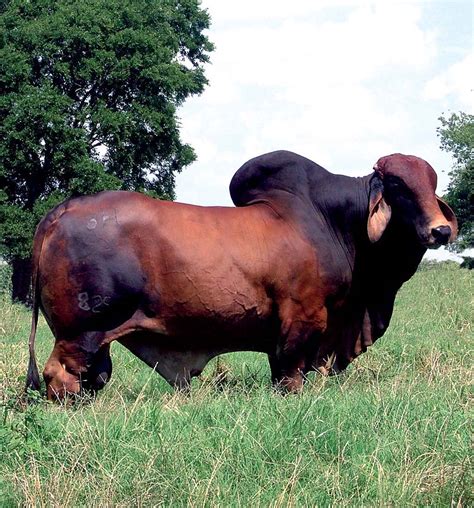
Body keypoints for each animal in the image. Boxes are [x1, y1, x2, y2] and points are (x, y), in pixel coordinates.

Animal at [25, 151, 456, 400]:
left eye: (433, 183)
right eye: (398, 186)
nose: (440, 231)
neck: (335, 221)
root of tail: (61, 211)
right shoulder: (304, 319)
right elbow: (291, 374)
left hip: (96, 339)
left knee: (95, 376)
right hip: (80, 332)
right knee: (60, 376)